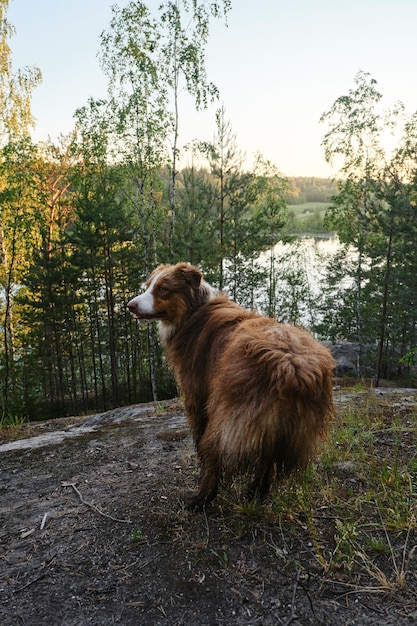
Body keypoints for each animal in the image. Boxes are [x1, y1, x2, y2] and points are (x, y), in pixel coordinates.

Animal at [127, 260, 334, 504]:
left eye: (162, 289)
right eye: (148, 286)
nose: (130, 305)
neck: (193, 312)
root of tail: (291, 366)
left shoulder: (196, 394)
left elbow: (199, 437)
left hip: (227, 417)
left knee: (216, 454)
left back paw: (201, 499)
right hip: (280, 426)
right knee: (267, 458)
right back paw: (255, 493)